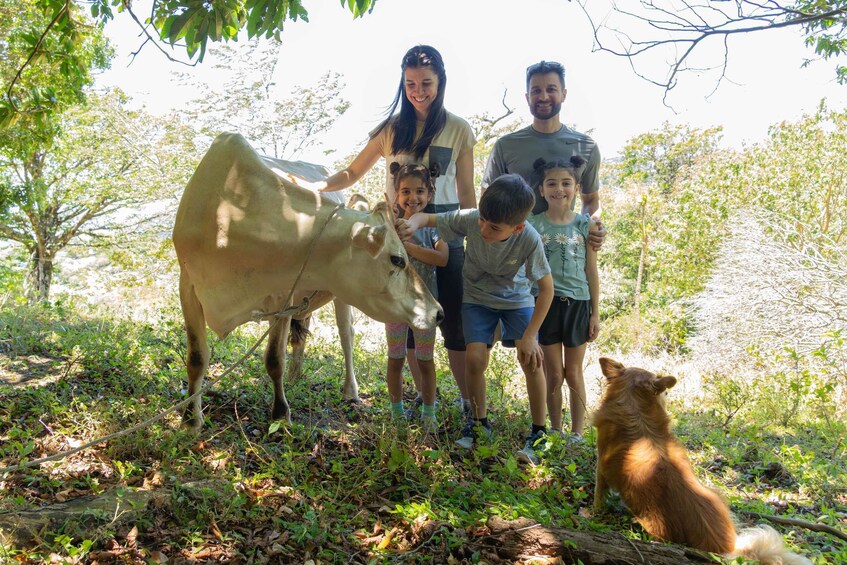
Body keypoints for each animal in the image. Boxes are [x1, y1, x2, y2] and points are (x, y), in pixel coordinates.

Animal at [170, 133, 440, 432]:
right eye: (397, 259)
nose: (438, 312)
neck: (228, 219)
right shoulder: (188, 285)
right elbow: (197, 357)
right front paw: (191, 419)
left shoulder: (282, 295)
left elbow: (274, 358)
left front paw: (280, 415)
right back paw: (295, 375)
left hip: (340, 298)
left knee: (346, 336)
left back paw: (350, 392)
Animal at [592, 360, 812, 560]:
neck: (637, 411)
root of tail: (726, 547)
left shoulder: (601, 468)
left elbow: (598, 495)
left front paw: (593, 513)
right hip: (716, 494)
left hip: (650, 523)